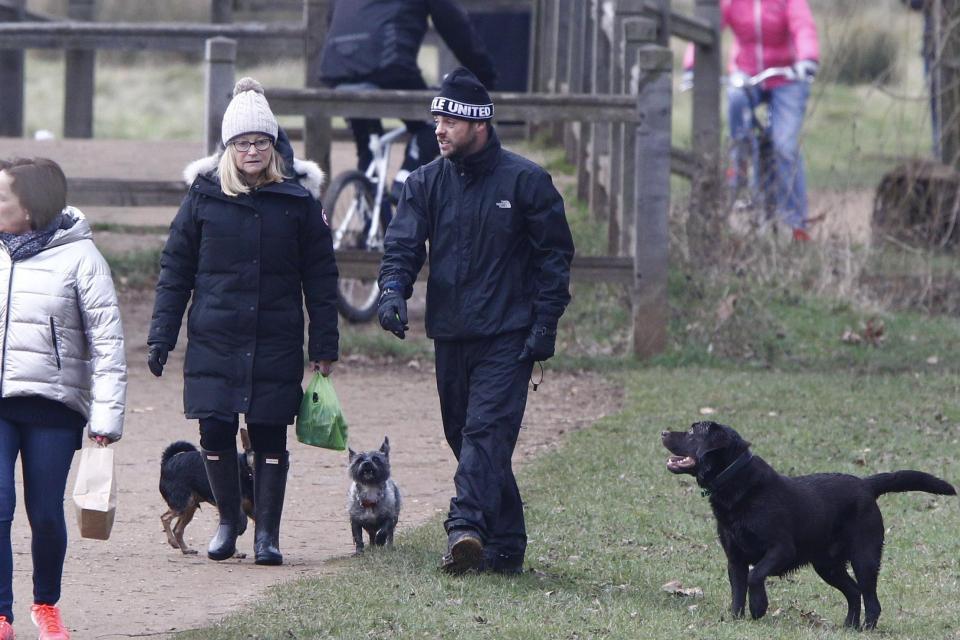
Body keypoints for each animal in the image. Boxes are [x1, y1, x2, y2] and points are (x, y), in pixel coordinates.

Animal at [664, 420, 956, 632]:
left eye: (693, 431)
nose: (663, 431)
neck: (736, 481)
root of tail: (866, 485)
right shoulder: (734, 558)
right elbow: (738, 591)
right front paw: (735, 620)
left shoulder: (781, 549)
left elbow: (755, 576)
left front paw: (759, 607)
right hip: (827, 565)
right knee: (854, 592)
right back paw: (848, 627)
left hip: (865, 558)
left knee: (872, 600)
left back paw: (866, 630)